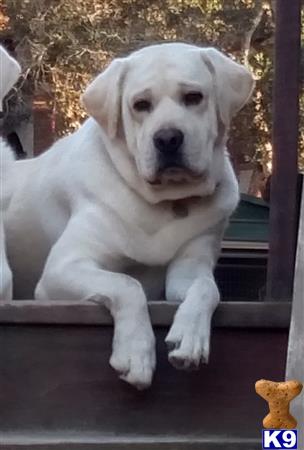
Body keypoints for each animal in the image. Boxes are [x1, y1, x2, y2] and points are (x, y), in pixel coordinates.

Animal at [1, 42, 253, 388]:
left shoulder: (190, 266)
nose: (168, 138)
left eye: (194, 97)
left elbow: (206, 289)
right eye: (140, 105)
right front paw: (136, 354)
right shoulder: (62, 269)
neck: (164, 204)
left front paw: (190, 339)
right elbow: (126, 284)